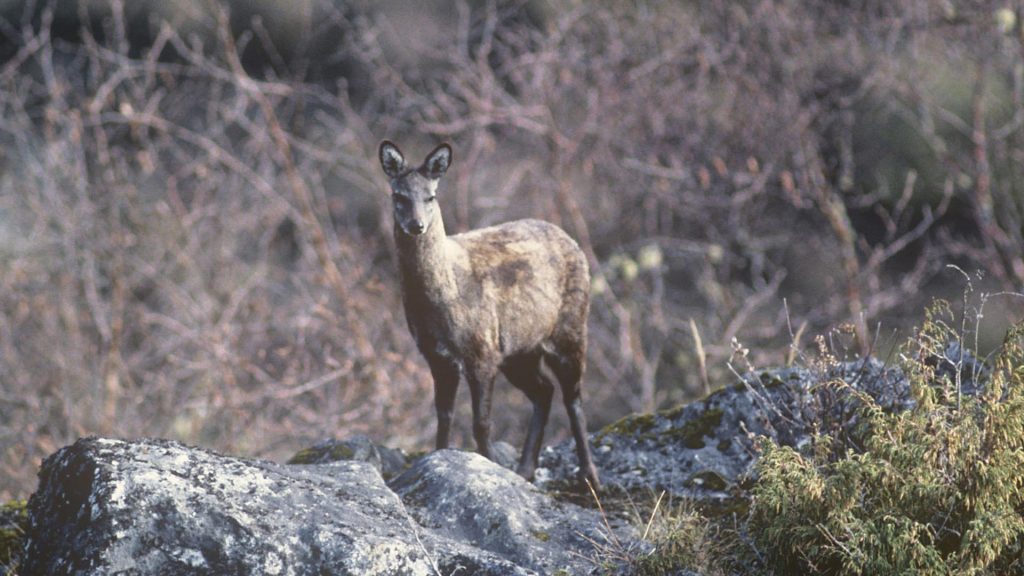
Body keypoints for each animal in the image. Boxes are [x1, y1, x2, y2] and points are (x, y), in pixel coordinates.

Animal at [378, 139, 598, 483]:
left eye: (431, 195)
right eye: (398, 195)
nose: (417, 225)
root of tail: (570, 238)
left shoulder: (481, 350)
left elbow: (481, 423)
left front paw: (489, 465)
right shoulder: (437, 356)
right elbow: (444, 415)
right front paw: (440, 457)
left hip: (571, 327)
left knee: (573, 396)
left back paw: (590, 477)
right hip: (520, 350)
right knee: (544, 391)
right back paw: (525, 469)